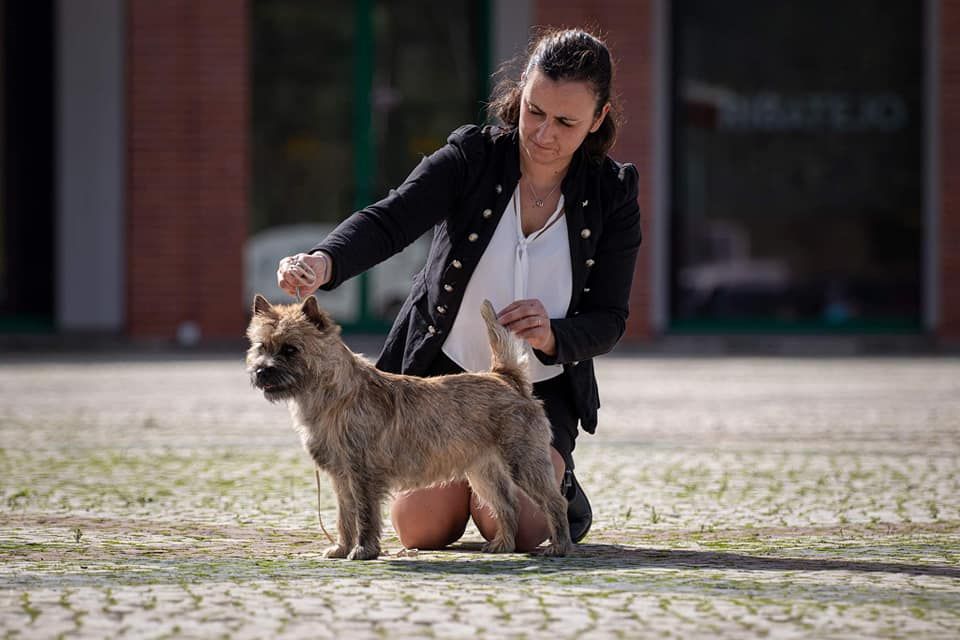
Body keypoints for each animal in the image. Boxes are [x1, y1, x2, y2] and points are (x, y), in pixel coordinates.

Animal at [246, 296, 568, 560]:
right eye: (261, 346)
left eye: (290, 349)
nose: (261, 371)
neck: (334, 396)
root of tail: (507, 378)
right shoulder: (341, 477)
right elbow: (344, 517)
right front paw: (340, 548)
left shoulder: (362, 473)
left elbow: (365, 515)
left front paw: (363, 550)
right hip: (483, 473)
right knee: (507, 505)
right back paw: (503, 545)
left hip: (523, 462)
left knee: (554, 501)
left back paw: (558, 546)